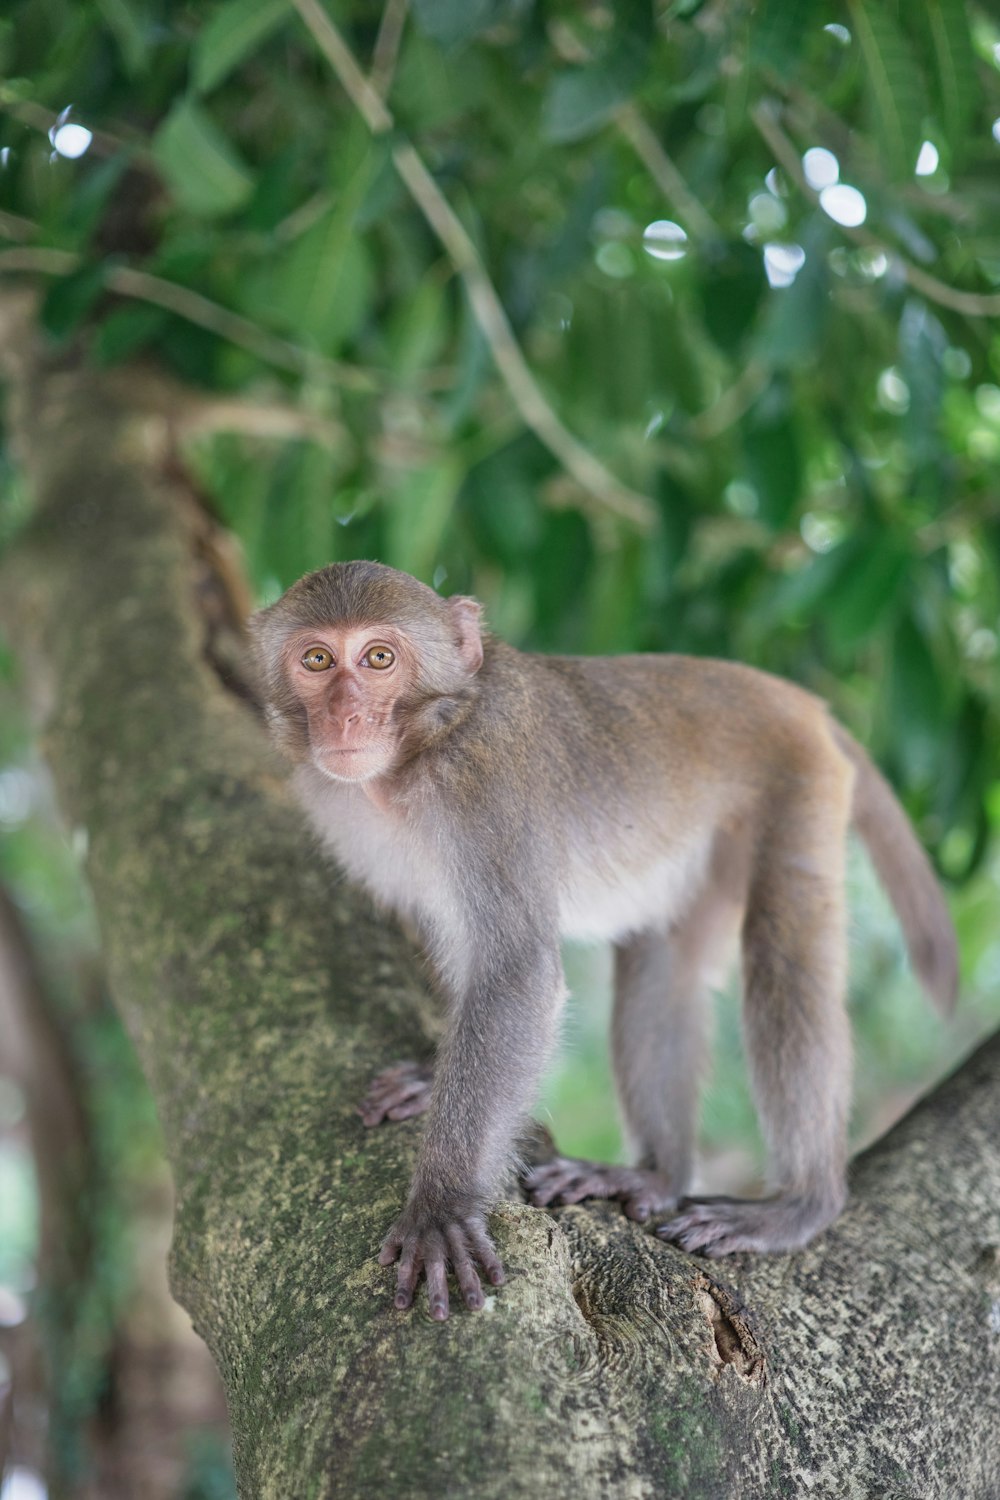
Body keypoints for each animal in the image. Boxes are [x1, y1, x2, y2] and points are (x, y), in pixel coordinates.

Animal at [248, 561, 953, 1314]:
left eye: (379, 658)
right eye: (317, 660)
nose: (345, 716)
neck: (424, 745)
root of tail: (796, 699)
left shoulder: (484, 787)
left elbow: (517, 974)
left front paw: (443, 1204)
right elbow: (465, 951)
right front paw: (433, 1074)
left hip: (799, 786)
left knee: (784, 965)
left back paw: (800, 1206)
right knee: (664, 962)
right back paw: (655, 1176)